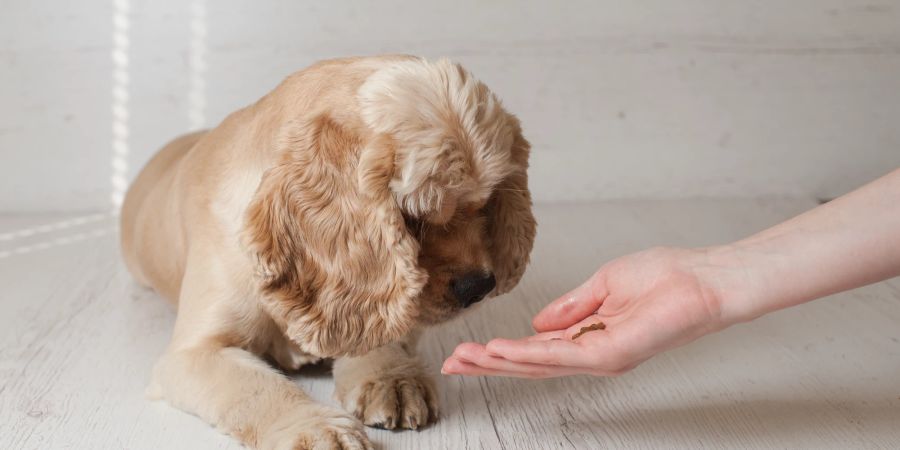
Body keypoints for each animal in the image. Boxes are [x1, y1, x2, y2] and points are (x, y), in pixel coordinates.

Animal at [123, 56, 536, 450]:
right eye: (413, 218)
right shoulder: (194, 353)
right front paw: (316, 429)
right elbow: (254, 387)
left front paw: (392, 379)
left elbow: (377, 326)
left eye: (484, 203)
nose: (478, 287)